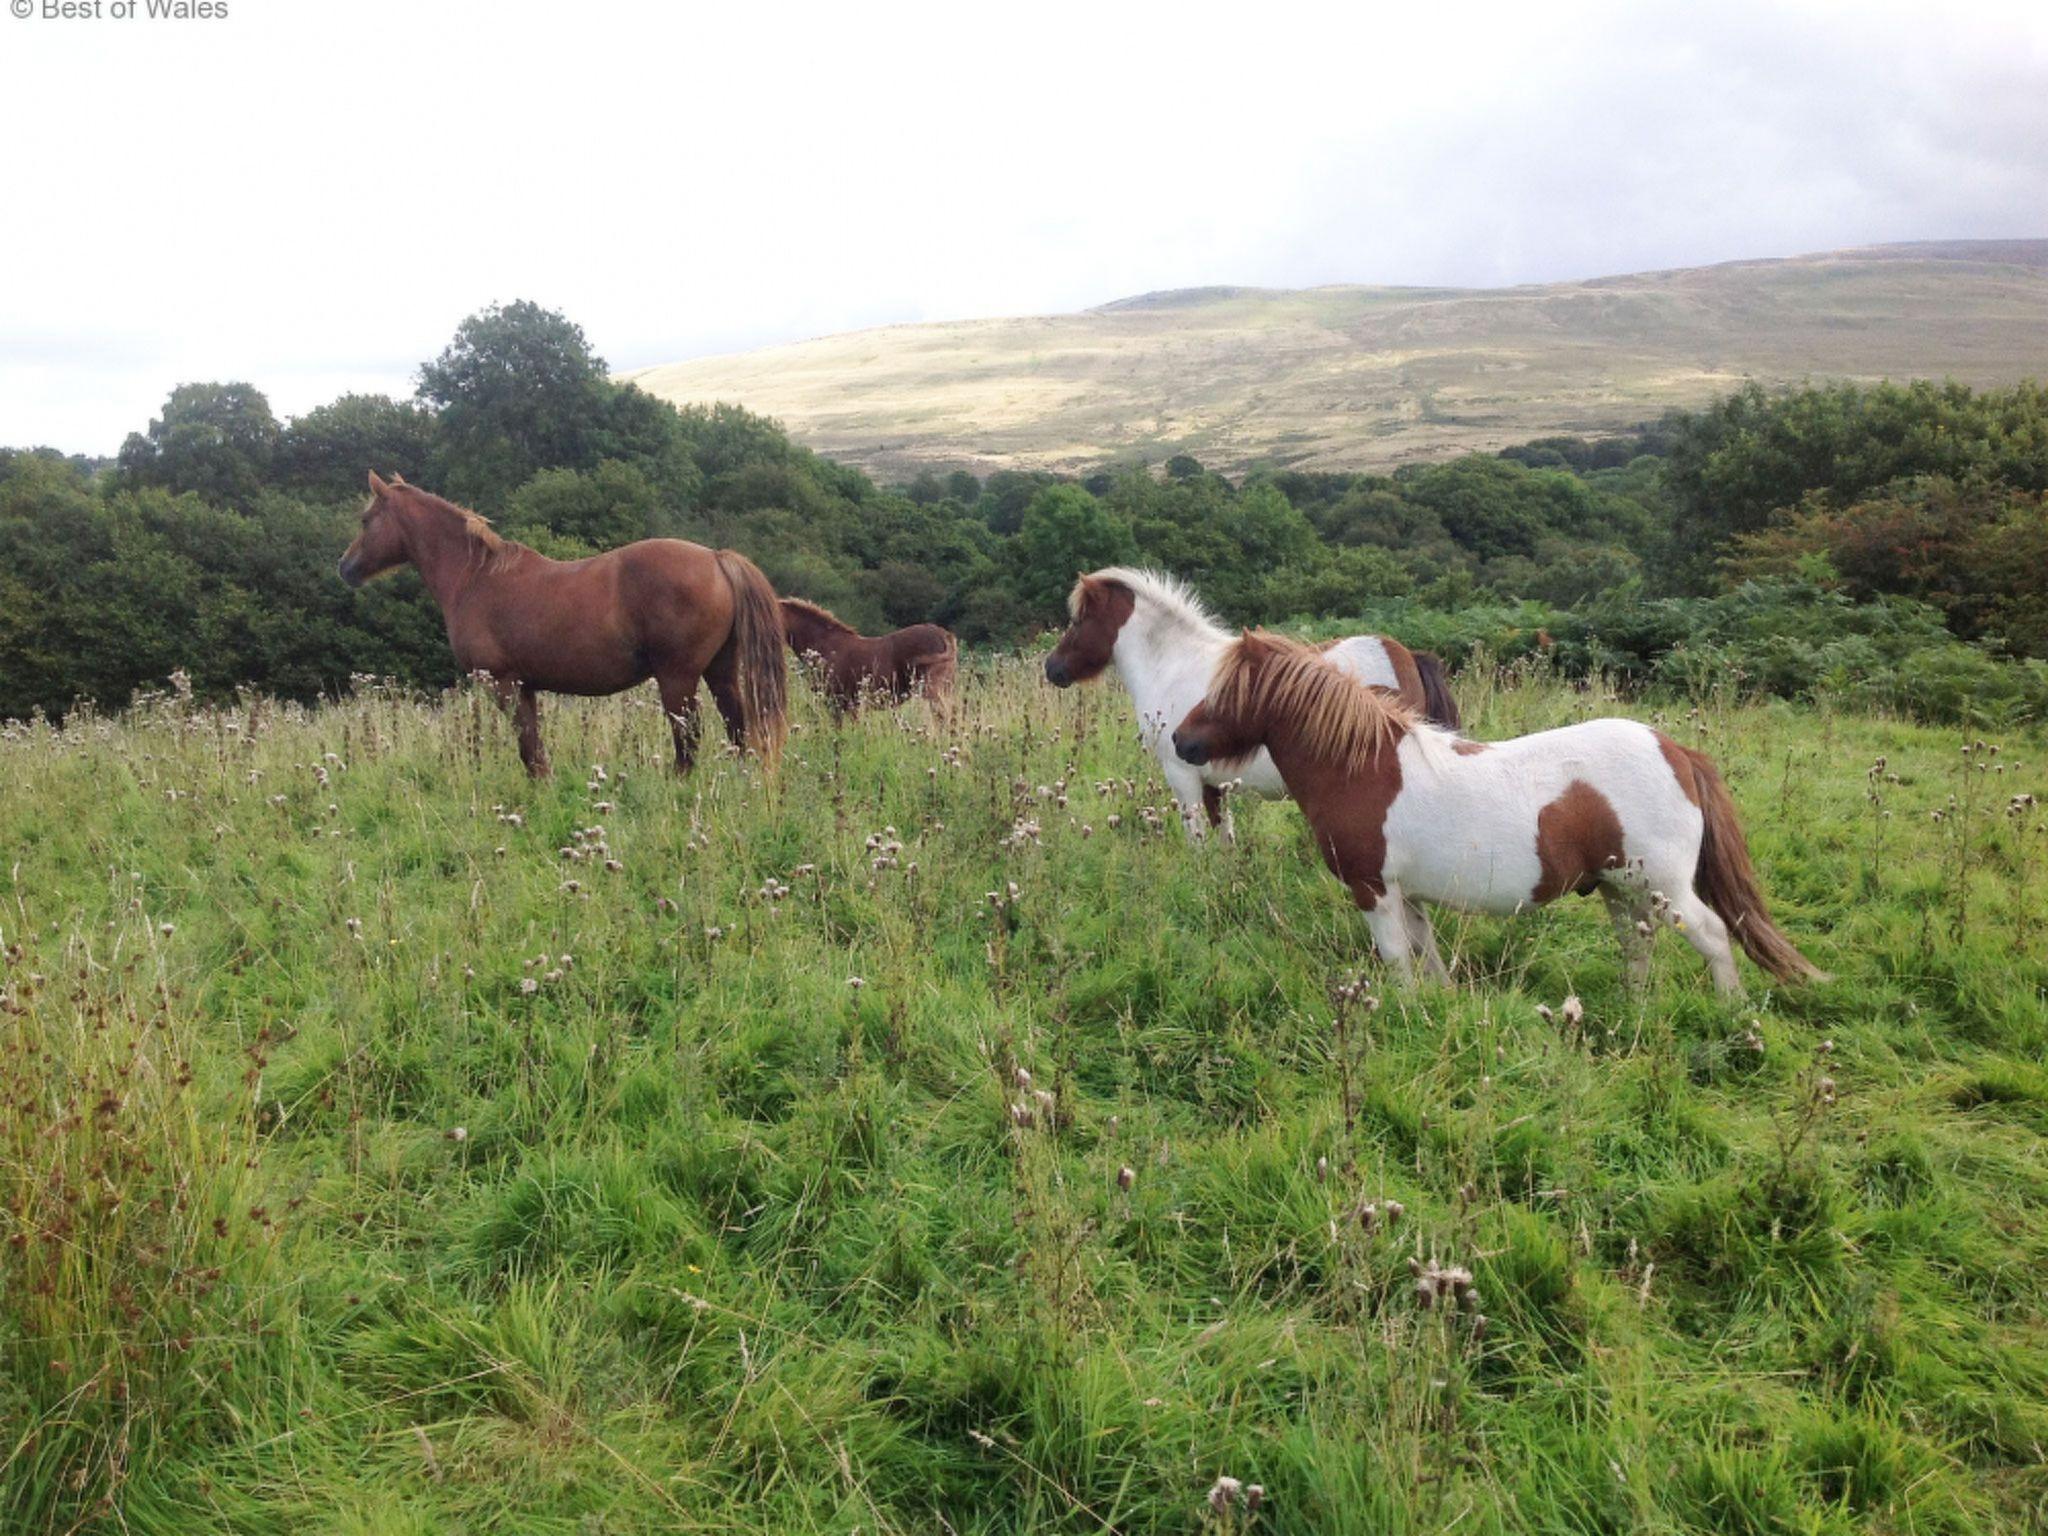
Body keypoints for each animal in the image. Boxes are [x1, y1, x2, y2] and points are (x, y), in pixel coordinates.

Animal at [339, 473, 786, 782]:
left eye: (365, 520)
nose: (344, 567)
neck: (476, 578)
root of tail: (716, 558)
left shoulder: (503, 683)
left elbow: (528, 751)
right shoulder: (526, 687)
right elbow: (535, 750)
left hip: (678, 678)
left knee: (689, 740)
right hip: (719, 671)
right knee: (738, 730)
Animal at [1048, 573, 1466, 843]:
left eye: (1078, 620)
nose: (1052, 668)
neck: (1172, 664)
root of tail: (1405, 656)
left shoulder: (1183, 777)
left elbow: (1197, 840)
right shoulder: (1213, 784)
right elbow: (1225, 840)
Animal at [1171, 626, 1826, 999]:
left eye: (1224, 691)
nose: (1179, 741)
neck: (1365, 768)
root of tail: (1677, 751)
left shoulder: (1372, 890)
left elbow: (1397, 960)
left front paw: (1405, 1011)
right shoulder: (1407, 894)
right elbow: (1427, 954)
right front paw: (1440, 1005)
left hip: (1665, 887)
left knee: (1713, 937)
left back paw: (1732, 1017)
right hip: (1622, 888)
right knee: (1637, 945)